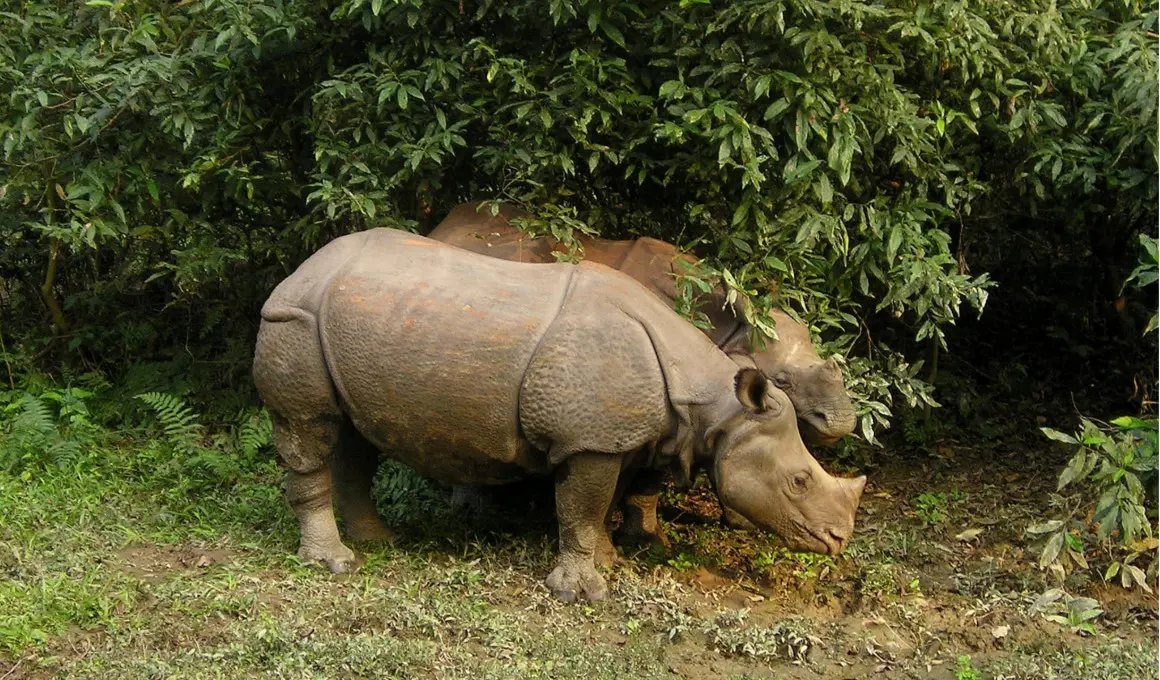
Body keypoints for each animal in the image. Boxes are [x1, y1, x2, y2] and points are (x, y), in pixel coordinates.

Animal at [253, 228, 865, 602]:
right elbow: (581, 507)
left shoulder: (621, 433)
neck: (711, 400)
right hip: (295, 318)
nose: (839, 540)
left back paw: (379, 543)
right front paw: (582, 591)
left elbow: (603, 504)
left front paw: (610, 561)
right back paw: (335, 563)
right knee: (309, 431)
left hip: (354, 324)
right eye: (798, 480)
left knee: (356, 438)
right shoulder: (590, 439)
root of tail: (302, 267)